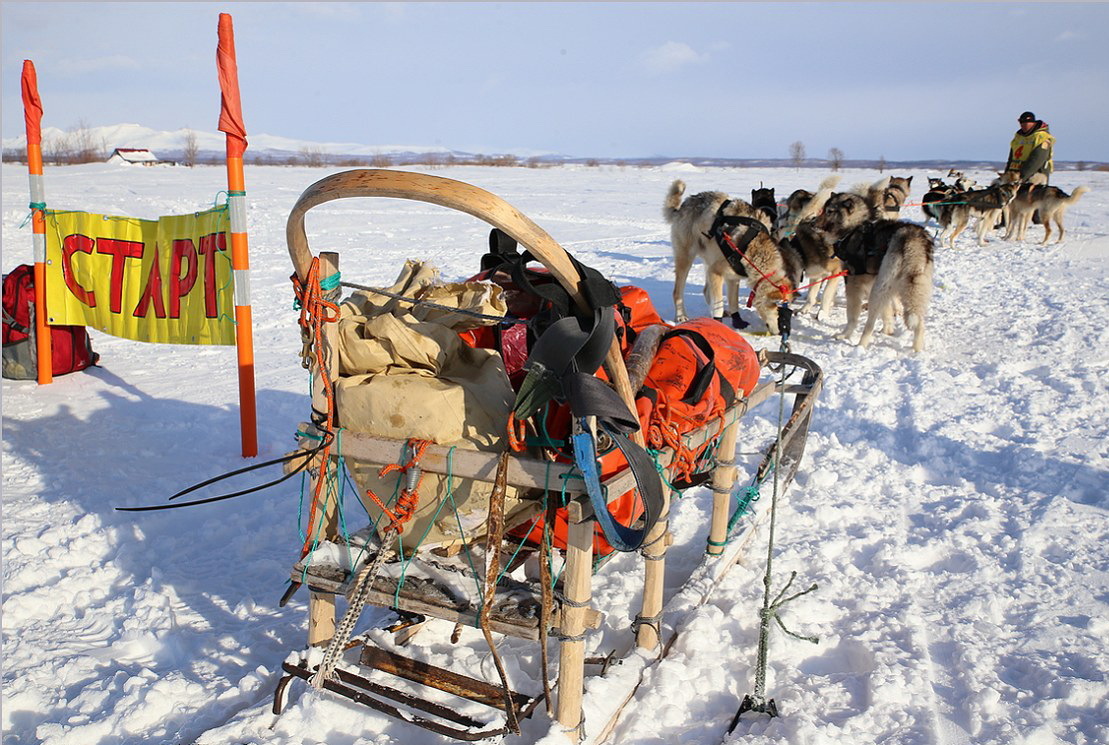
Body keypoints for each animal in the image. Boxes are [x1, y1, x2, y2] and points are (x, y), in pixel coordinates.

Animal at [660, 180, 802, 332]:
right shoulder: (716, 272)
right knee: (678, 292)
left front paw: (737, 321)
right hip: (686, 260)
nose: (782, 333)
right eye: (780, 312)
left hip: (710, 260)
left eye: (789, 314)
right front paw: (717, 322)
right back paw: (681, 316)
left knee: (706, 291)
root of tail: (683, 205)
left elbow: (733, 302)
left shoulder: (733, 277)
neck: (752, 244)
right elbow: (718, 304)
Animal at [820, 191, 931, 354]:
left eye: (829, 211)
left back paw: (861, 345)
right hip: (912, 290)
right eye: (823, 210)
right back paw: (916, 350)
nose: (813, 223)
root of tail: (911, 237)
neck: (854, 228)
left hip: (880, 288)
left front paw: (845, 334)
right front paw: (887, 330)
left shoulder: (853, 283)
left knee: (870, 324)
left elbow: (852, 316)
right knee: (919, 322)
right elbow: (887, 312)